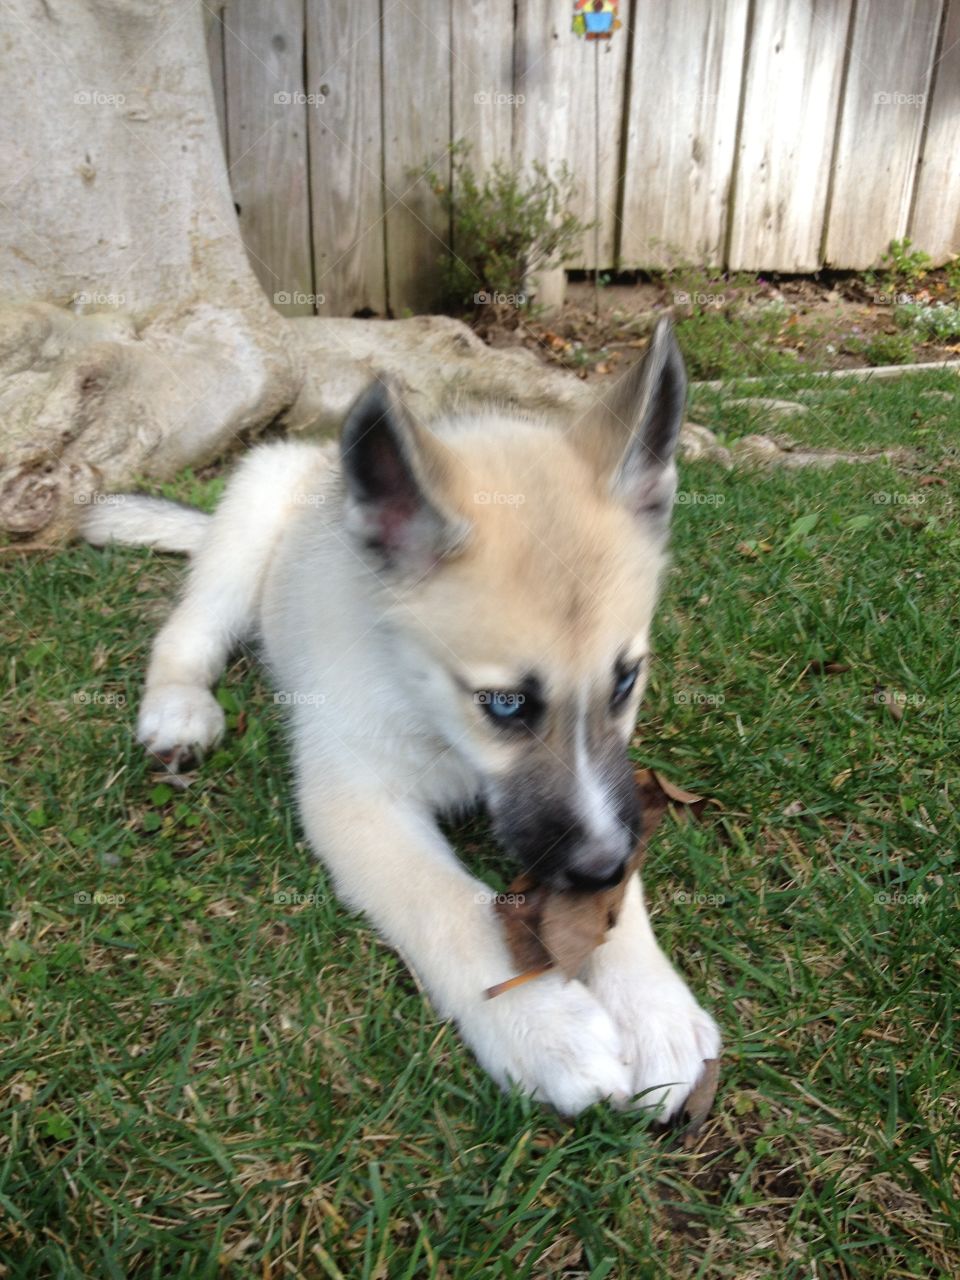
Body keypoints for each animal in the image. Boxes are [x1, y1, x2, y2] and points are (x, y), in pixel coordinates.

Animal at [84, 314, 721, 1116]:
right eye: (504, 704)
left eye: (626, 681)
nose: (598, 865)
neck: (431, 718)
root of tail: (317, 465)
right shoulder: (356, 799)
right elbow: (447, 904)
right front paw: (541, 1024)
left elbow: (621, 886)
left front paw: (652, 1003)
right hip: (248, 523)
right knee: (186, 633)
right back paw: (178, 711)